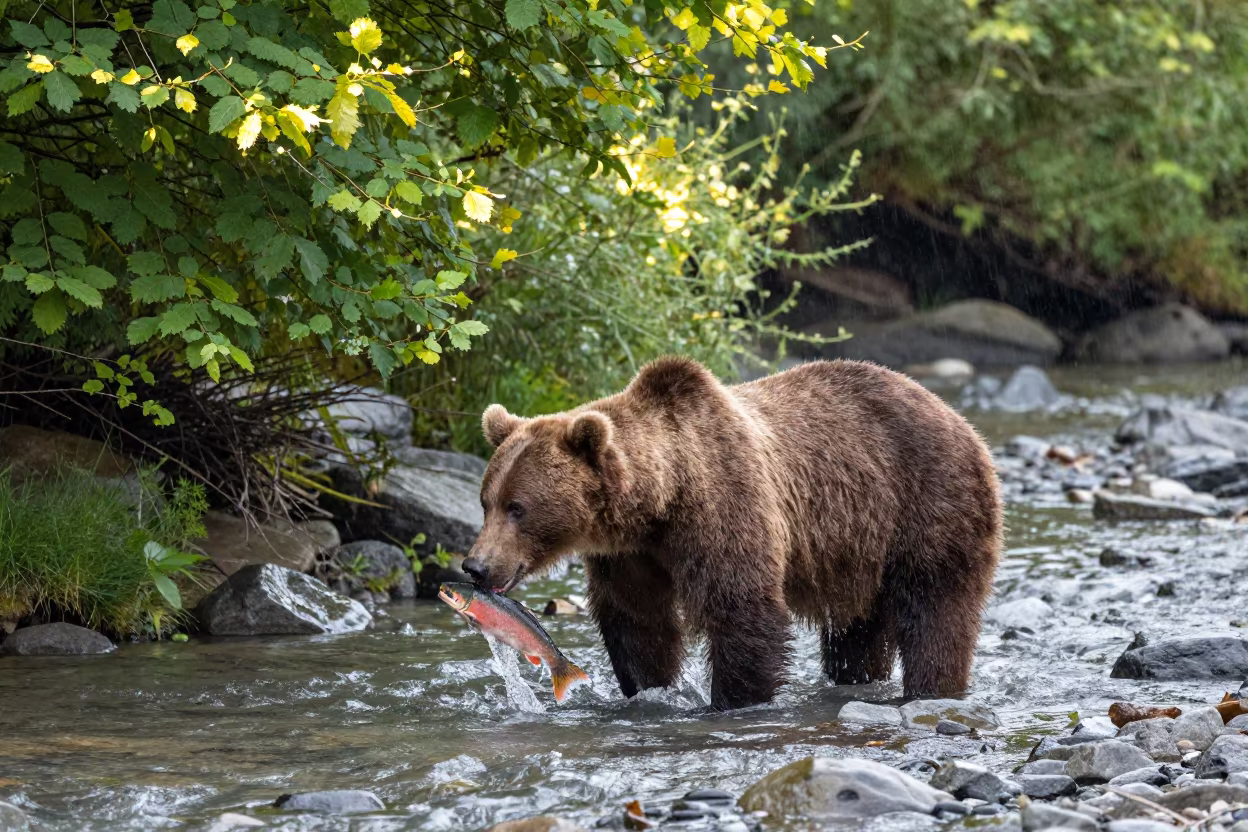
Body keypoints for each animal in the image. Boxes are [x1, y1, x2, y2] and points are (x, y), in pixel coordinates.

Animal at [462, 356, 1003, 710]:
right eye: (486, 501)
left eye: (518, 508)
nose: (475, 566)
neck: (662, 500)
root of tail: (960, 419)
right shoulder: (630, 555)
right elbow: (638, 622)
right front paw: (650, 688)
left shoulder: (725, 503)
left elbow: (741, 608)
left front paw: (731, 700)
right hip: (859, 550)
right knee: (856, 632)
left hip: (929, 503)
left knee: (937, 609)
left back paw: (933, 688)